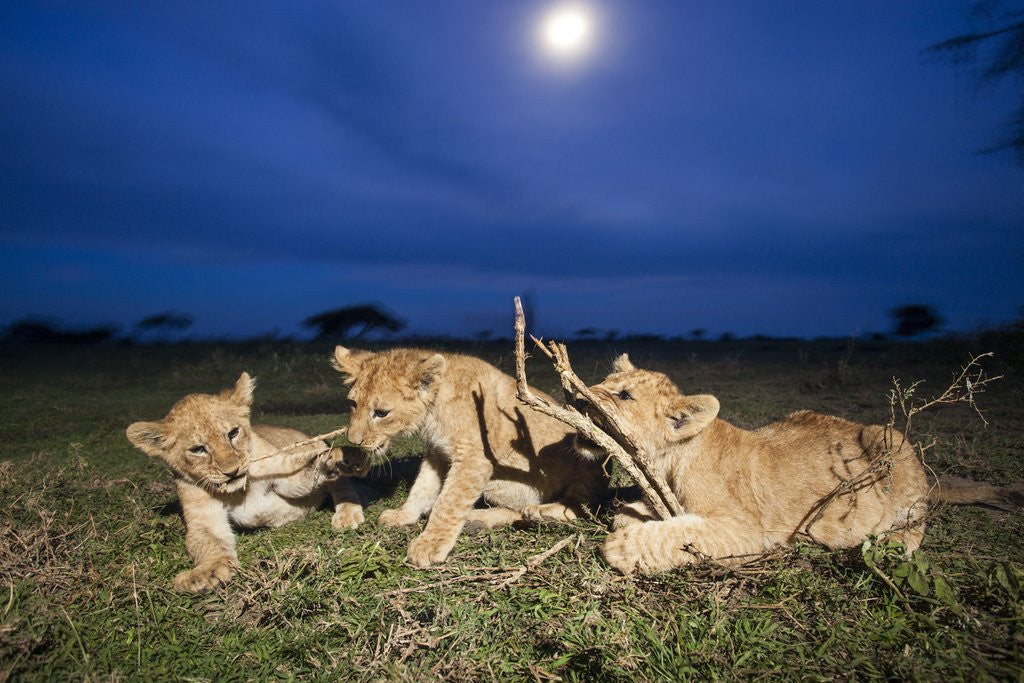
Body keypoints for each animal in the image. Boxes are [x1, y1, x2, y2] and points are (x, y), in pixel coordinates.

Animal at [126, 372, 369, 591]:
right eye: (198, 449)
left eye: (233, 433)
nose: (231, 471)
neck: (238, 490)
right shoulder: (202, 516)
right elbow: (207, 541)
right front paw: (207, 573)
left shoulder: (283, 471)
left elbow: (307, 473)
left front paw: (335, 460)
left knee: (339, 480)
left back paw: (347, 508)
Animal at [332, 346, 607, 568]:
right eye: (353, 404)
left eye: (381, 413)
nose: (353, 440)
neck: (433, 410)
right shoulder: (437, 454)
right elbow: (422, 488)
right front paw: (404, 515)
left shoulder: (474, 459)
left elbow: (447, 502)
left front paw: (429, 545)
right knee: (518, 511)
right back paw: (479, 520)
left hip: (584, 454)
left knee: (582, 504)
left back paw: (543, 513)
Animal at [575, 355, 932, 574]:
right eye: (605, 379)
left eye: (624, 395)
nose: (577, 398)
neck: (669, 458)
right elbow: (636, 515)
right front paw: (630, 517)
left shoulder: (745, 530)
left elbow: (681, 532)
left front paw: (621, 547)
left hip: (890, 440)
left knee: (915, 522)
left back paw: (891, 542)